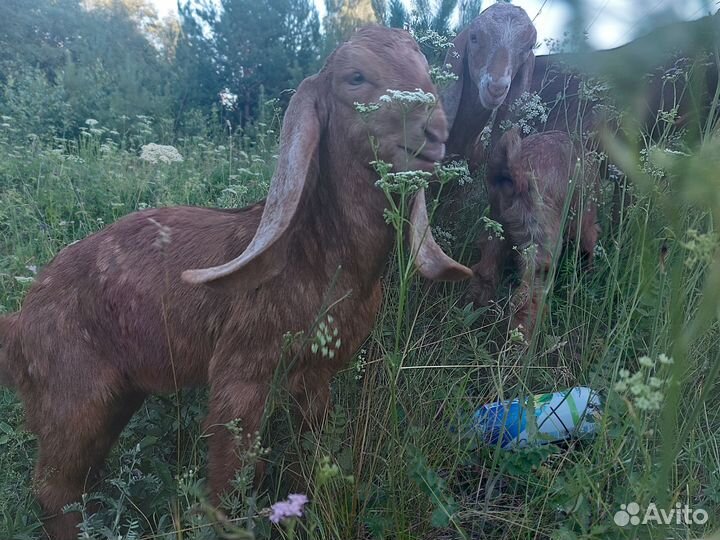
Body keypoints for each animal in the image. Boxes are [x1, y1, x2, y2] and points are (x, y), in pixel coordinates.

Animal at [0, 26, 471, 540]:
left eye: (427, 72)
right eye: (355, 77)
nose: (435, 134)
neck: (317, 254)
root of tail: (20, 319)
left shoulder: (316, 377)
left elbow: (310, 458)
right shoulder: (240, 373)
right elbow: (232, 479)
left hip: (114, 396)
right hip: (74, 397)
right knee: (55, 489)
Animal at [468, 128, 600, 337]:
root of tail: (517, 173)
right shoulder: (587, 223)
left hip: (497, 229)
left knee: (484, 272)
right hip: (541, 250)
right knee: (527, 301)